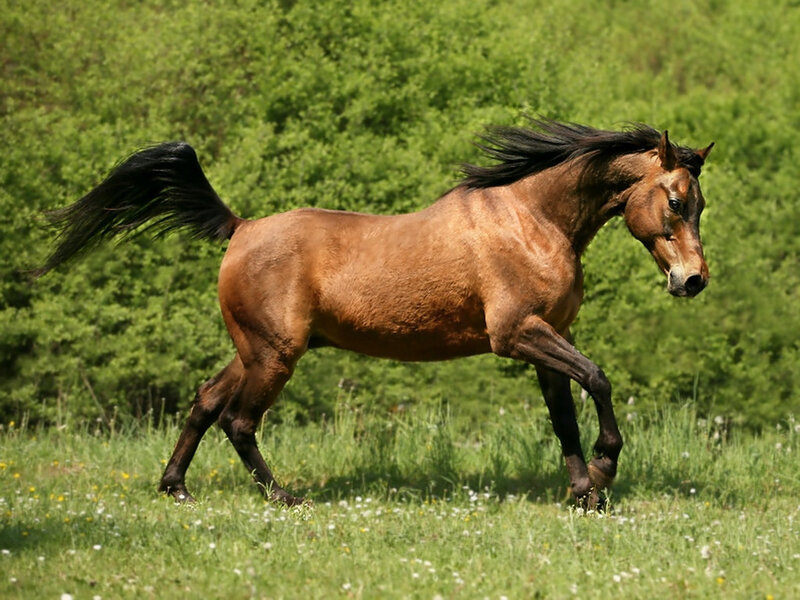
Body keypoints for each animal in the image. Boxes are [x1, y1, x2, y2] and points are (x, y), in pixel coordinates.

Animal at [36, 119, 713, 508]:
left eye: (700, 203)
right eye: (676, 201)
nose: (693, 280)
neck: (532, 220)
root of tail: (240, 227)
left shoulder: (549, 338)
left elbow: (564, 417)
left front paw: (584, 494)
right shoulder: (518, 334)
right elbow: (598, 379)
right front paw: (603, 471)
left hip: (255, 350)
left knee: (205, 401)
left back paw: (175, 488)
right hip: (274, 355)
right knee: (239, 420)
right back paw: (285, 498)